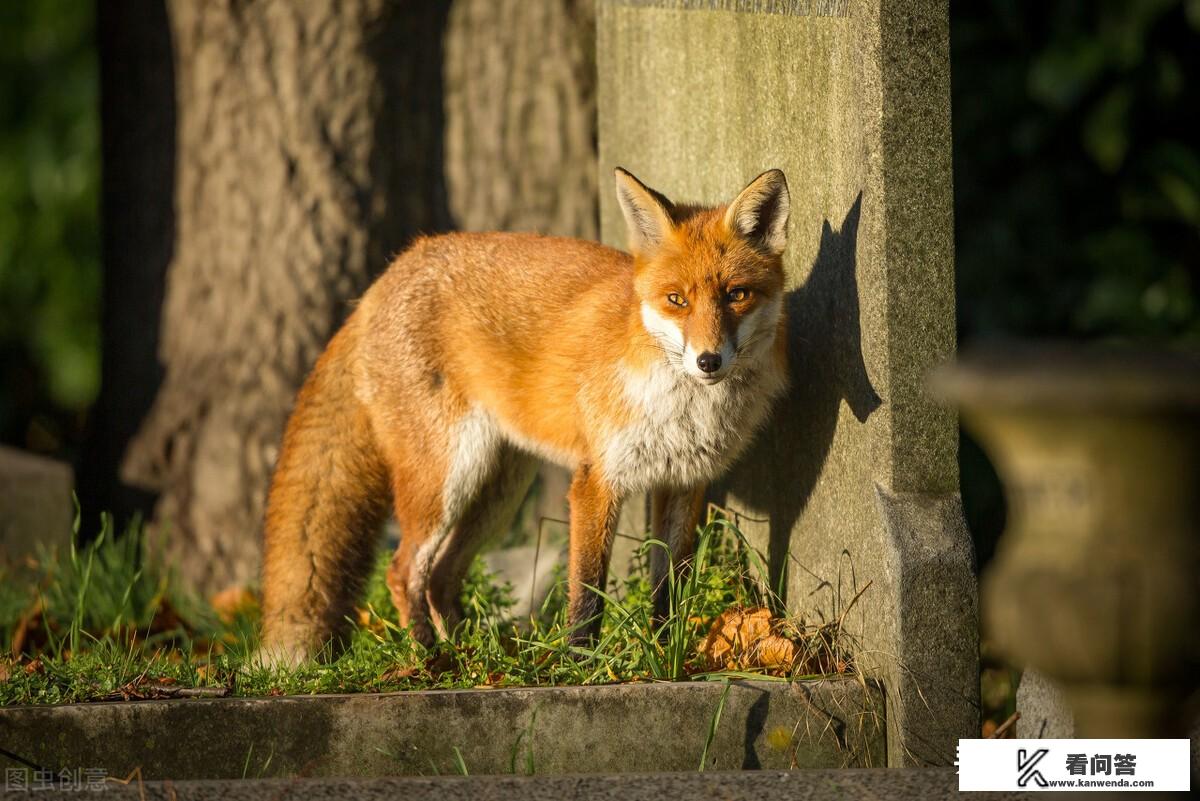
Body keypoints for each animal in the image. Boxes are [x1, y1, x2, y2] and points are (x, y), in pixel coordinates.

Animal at [258, 167, 792, 661]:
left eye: (736, 295)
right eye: (676, 300)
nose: (708, 361)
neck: (684, 411)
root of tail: (384, 277)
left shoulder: (684, 482)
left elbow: (669, 590)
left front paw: (665, 653)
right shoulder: (595, 481)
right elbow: (587, 592)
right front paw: (581, 663)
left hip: (498, 491)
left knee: (442, 576)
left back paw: (480, 656)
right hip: (447, 479)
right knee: (403, 569)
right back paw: (431, 659)